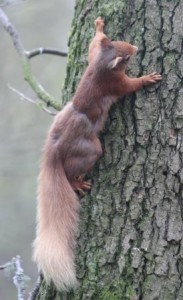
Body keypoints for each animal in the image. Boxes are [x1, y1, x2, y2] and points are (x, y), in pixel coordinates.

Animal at [33, 17, 162, 292]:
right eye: (125, 57)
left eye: (118, 41)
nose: (136, 47)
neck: (101, 67)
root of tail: (55, 150)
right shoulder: (116, 84)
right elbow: (130, 86)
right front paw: (148, 78)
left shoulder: (93, 57)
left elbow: (93, 44)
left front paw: (99, 25)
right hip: (89, 150)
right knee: (72, 170)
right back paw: (77, 184)